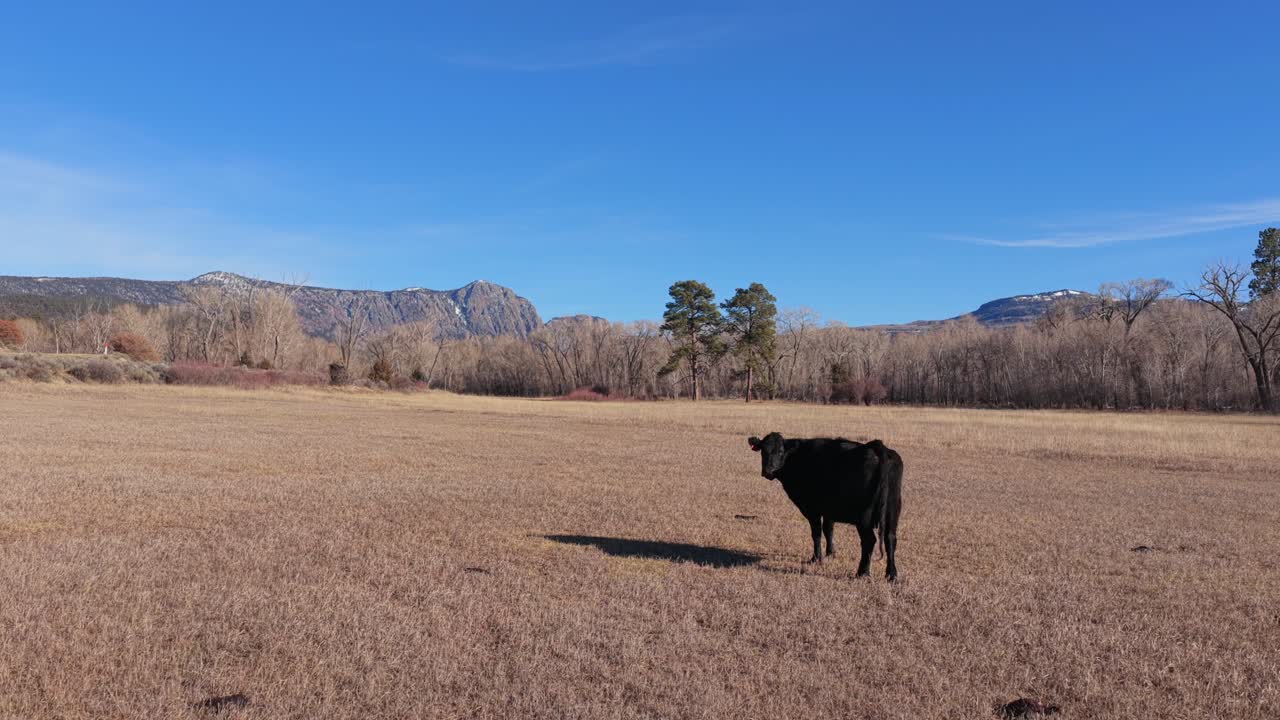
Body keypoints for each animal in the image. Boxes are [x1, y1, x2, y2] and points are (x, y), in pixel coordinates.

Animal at [747, 433, 903, 580]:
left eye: (780, 451)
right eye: (763, 451)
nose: (768, 471)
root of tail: (877, 447)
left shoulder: (811, 509)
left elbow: (816, 533)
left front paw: (816, 558)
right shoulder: (829, 510)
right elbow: (829, 530)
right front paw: (831, 553)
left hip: (864, 518)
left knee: (869, 541)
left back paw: (862, 573)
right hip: (892, 511)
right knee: (890, 539)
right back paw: (892, 575)